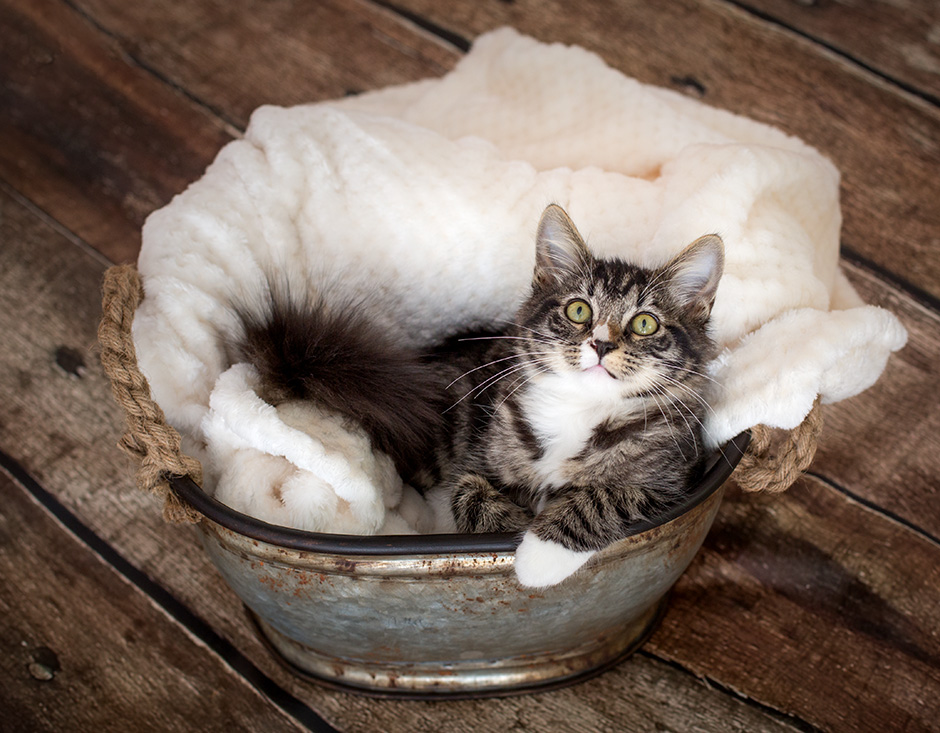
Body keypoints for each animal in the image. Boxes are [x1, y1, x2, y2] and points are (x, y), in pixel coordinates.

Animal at [224, 203, 724, 588]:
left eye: (645, 323)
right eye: (579, 311)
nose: (601, 345)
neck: (579, 411)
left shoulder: (672, 483)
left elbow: (605, 497)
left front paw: (538, 556)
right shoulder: (481, 453)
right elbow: (470, 494)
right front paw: (514, 530)